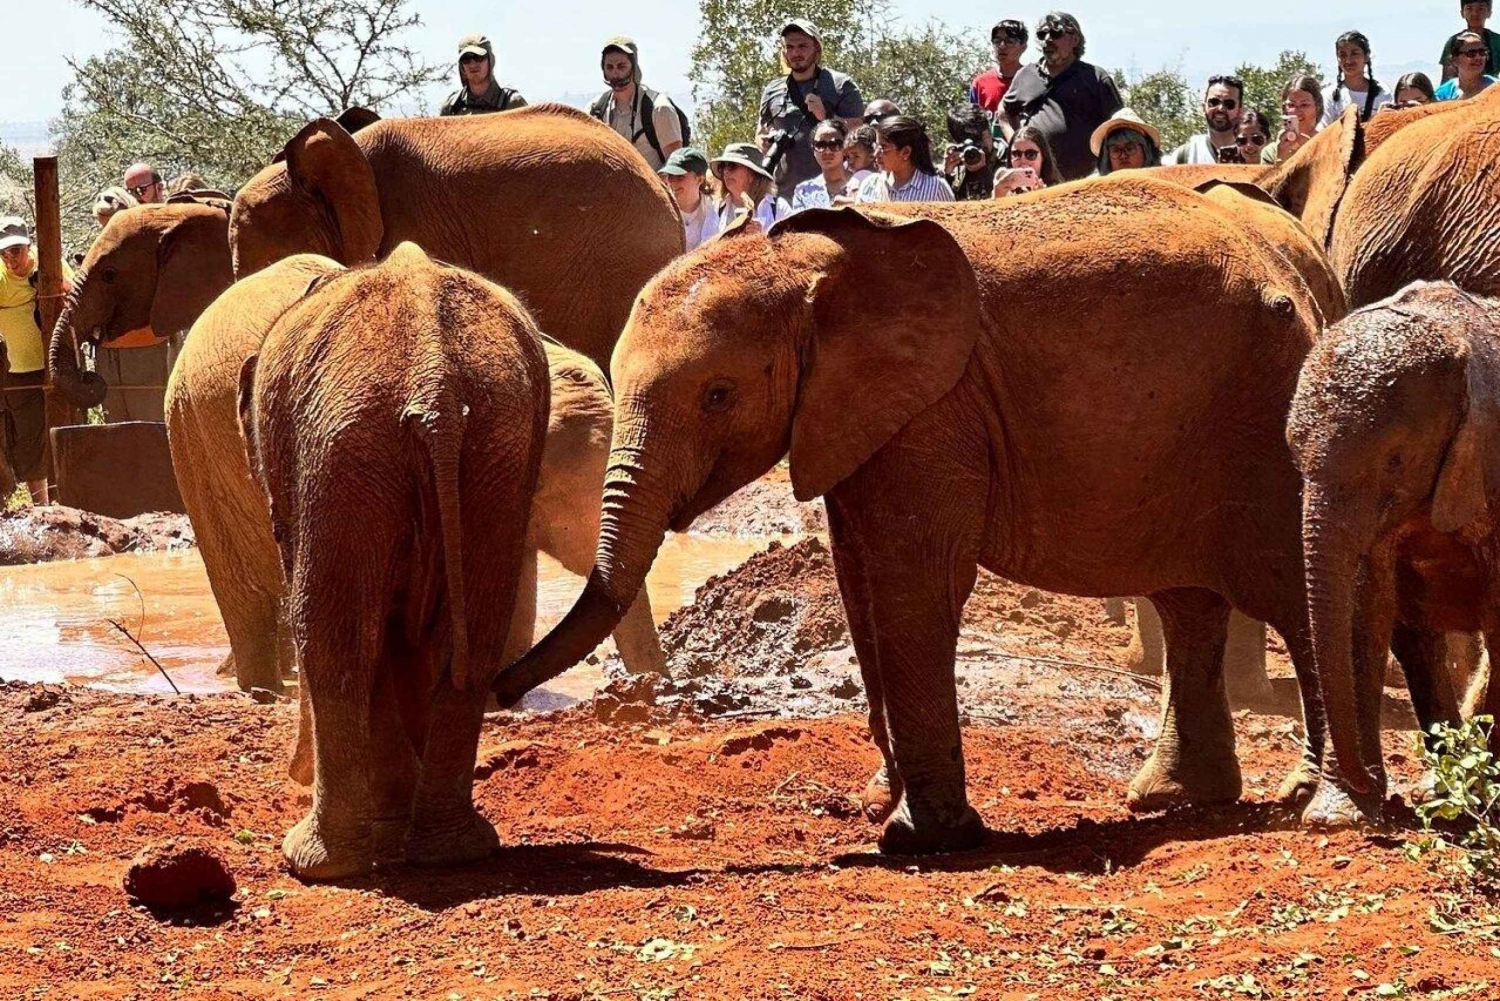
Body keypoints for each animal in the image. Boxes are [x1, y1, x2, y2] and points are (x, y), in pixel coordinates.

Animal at [237, 243, 550, 880]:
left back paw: (317, 863)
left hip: (345, 449)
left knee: (336, 639)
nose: (292, 773)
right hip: (493, 448)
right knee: (473, 635)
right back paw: (451, 850)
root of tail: (435, 384)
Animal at [492, 179, 1348, 855]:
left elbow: (913, 577)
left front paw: (922, 837)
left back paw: (1310, 800)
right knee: (1187, 602)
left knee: (1287, 583)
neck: (801, 264)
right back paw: (1171, 798)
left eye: (718, 394)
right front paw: (880, 800)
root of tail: (1296, 274)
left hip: (1262, 414)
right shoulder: (854, 414)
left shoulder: (935, 407)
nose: (498, 686)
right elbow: (857, 578)